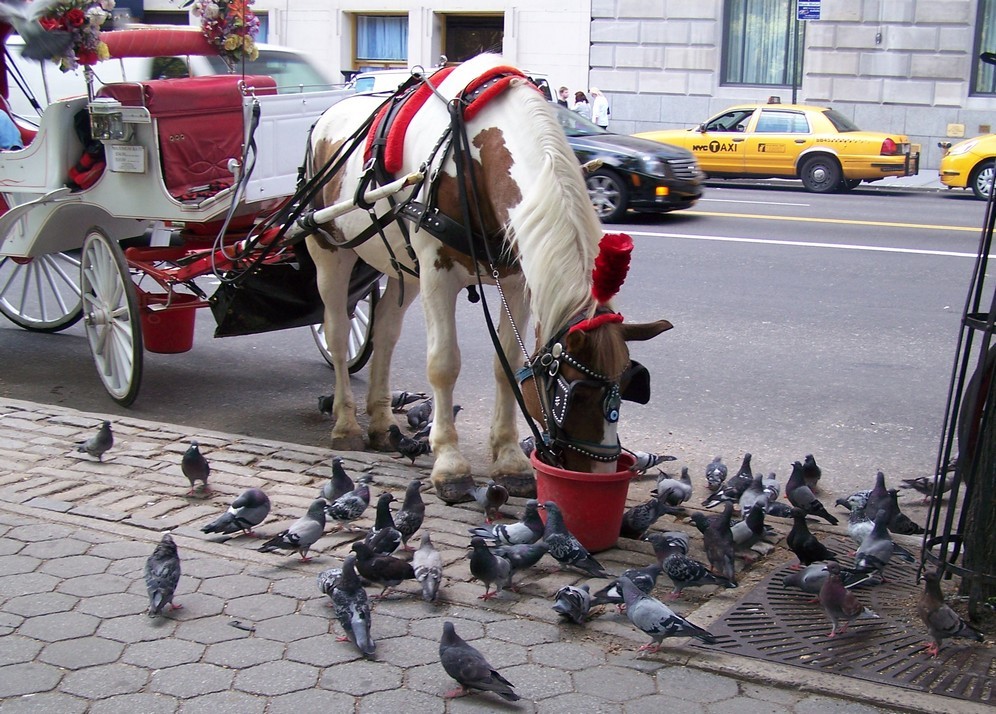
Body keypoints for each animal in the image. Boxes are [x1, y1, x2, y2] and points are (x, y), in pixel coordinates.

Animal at [305, 54, 672, 503]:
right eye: (575, 393)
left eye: (628, 385)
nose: (601, 476)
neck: (471, 156)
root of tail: (328, 114)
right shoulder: (436, 271)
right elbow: (443, 364)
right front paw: (450, 464)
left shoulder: (516, 280)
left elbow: (507, 365)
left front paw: (510, 459)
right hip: (330, 251)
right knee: (339, 335)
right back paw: (346, 425)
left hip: (402, 267)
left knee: (386, 333)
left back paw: (379, 422)